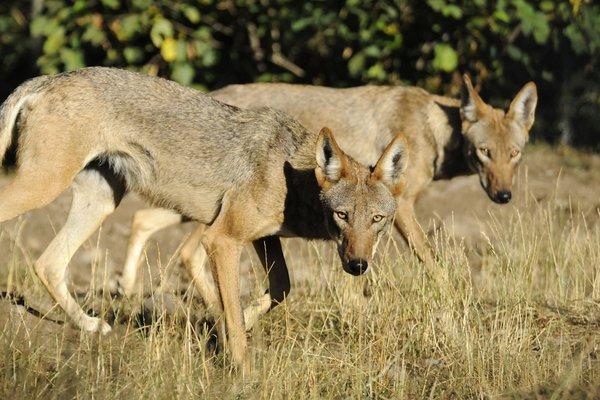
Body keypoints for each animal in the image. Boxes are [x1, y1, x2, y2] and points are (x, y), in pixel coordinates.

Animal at [0, 68, 410, 366]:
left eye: (377, 220)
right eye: (342, 215)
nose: (358, 266)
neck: (294, 180)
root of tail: (48, 78)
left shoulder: (264, 238)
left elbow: (278, 290)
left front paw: (237, 325)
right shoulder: (222, 239)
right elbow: (235, 312)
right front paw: (242, 371)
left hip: (100, 202)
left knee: (48, 263)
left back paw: (89, 325)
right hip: (43, 186)